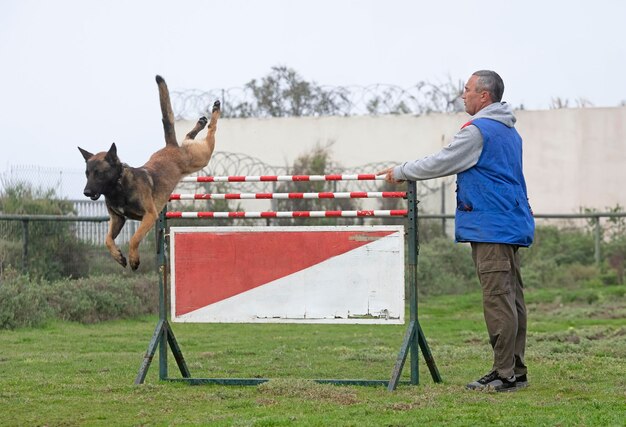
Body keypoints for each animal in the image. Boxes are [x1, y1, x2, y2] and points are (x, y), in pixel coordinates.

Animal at [78, 75, 219, 270]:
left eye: (99, 173)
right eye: (87, 173)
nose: (86, 192)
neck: (119, 186)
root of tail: (171, 146)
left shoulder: (150, 216)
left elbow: (134, 238)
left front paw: (133, 259)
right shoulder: (117, 219)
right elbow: (107, 240)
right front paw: (118, 256)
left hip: (201, 157)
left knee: (211, 133)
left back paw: (215, 111)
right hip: (194, 153)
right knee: (188, 137)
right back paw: (200, 122)